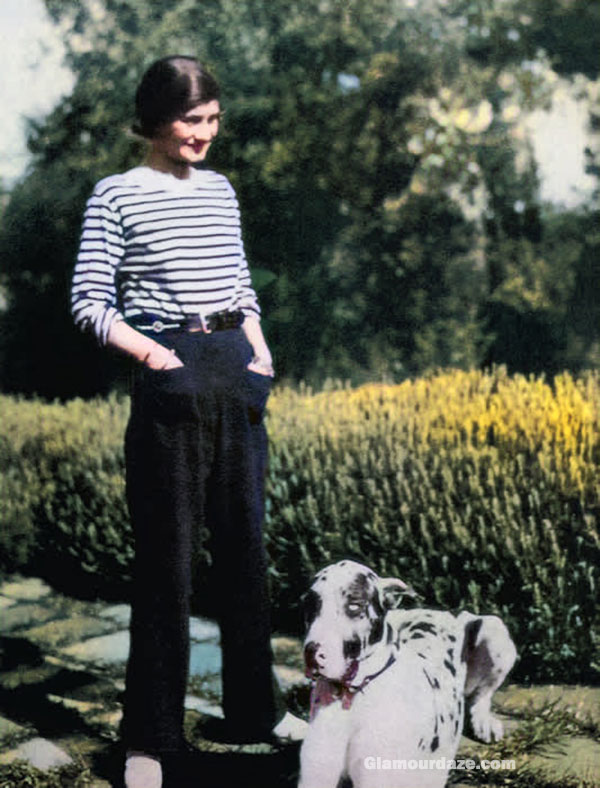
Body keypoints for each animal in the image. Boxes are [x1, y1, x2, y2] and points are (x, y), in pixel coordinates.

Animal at [298, 560, 516, 788]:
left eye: (355, 604)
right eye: (309, 605)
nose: (311, 652)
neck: (354, 695)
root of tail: (444, 612)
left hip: (494, 630)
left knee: (481, 695)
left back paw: (484, 722)